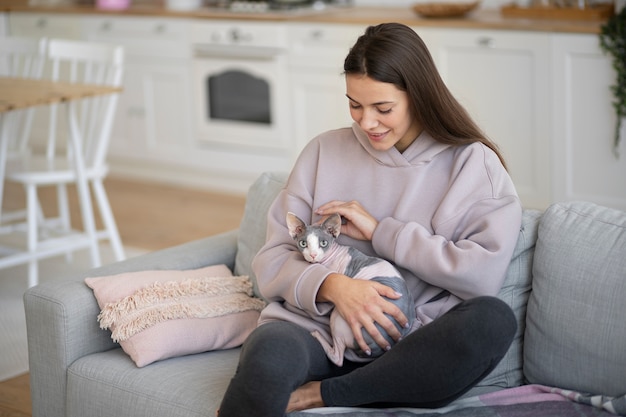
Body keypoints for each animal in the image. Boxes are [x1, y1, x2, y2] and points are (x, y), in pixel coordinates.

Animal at [286, 211, 414, 364]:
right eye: (303, 243)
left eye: (323, 243)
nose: (313, 255)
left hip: (339, 316)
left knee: (338, 358)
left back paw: (317, 335)